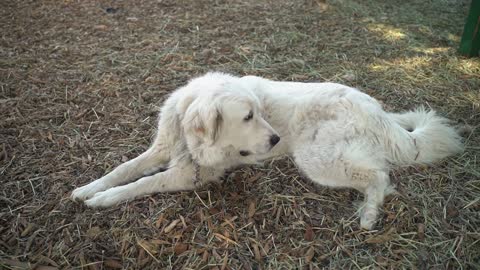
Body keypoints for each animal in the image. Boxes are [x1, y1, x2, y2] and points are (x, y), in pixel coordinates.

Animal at [71, 72, 462, 230]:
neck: (186, 132)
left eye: (259, 112)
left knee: (380, 175)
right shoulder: (162, 150)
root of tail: (378, 113)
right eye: (248, 116)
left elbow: (140, 184)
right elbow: (123, 169)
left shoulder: (191, 173)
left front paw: (104, 199)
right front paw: (88, 188)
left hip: (316, 159)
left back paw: (368, 215)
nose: (274, 140)